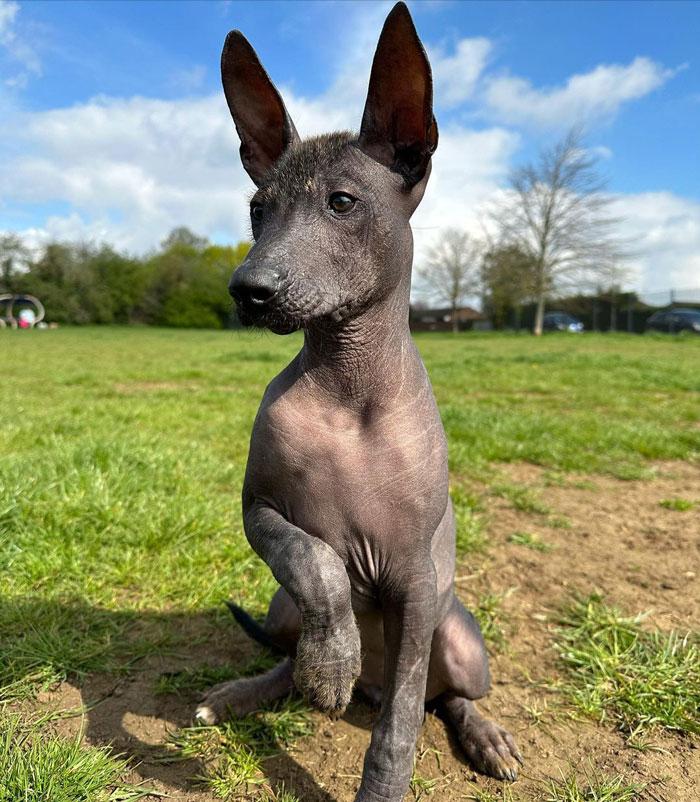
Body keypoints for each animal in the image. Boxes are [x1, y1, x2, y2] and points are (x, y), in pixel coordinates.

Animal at [194, 3, 524, 796]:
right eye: (258, 210)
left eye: (342, 203)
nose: (248, 289)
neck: (349, 387)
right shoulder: (259, 510)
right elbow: (315, 560)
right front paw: (332, 660)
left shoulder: (414, 579)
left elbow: (401, 721)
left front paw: (382, 785)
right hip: (280, 606)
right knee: (288, 652)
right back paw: (254, 691)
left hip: (459, 637)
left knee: (444, 697)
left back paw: (484, 736)